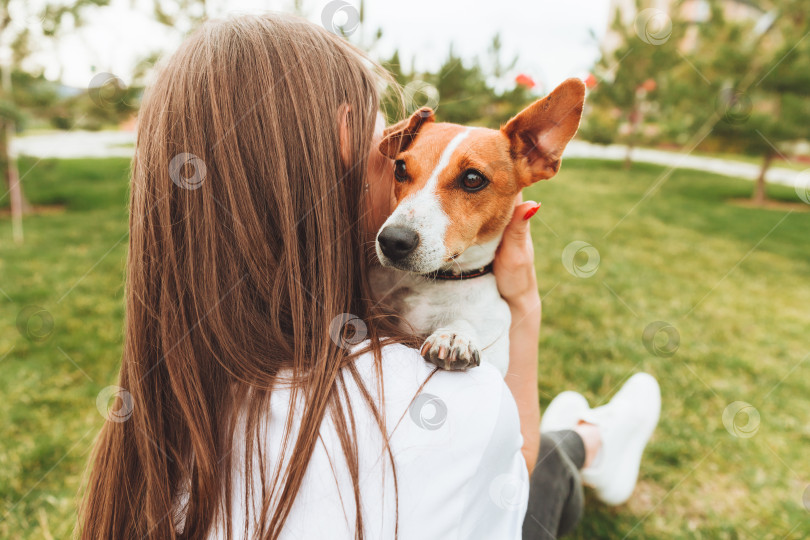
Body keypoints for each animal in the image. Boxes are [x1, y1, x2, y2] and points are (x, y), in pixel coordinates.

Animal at [370, 79, 584, 376]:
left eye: (472, 179)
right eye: (400, 168)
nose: (392, 241)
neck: (433, 284)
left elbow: (467, 322)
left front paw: (454, 334)